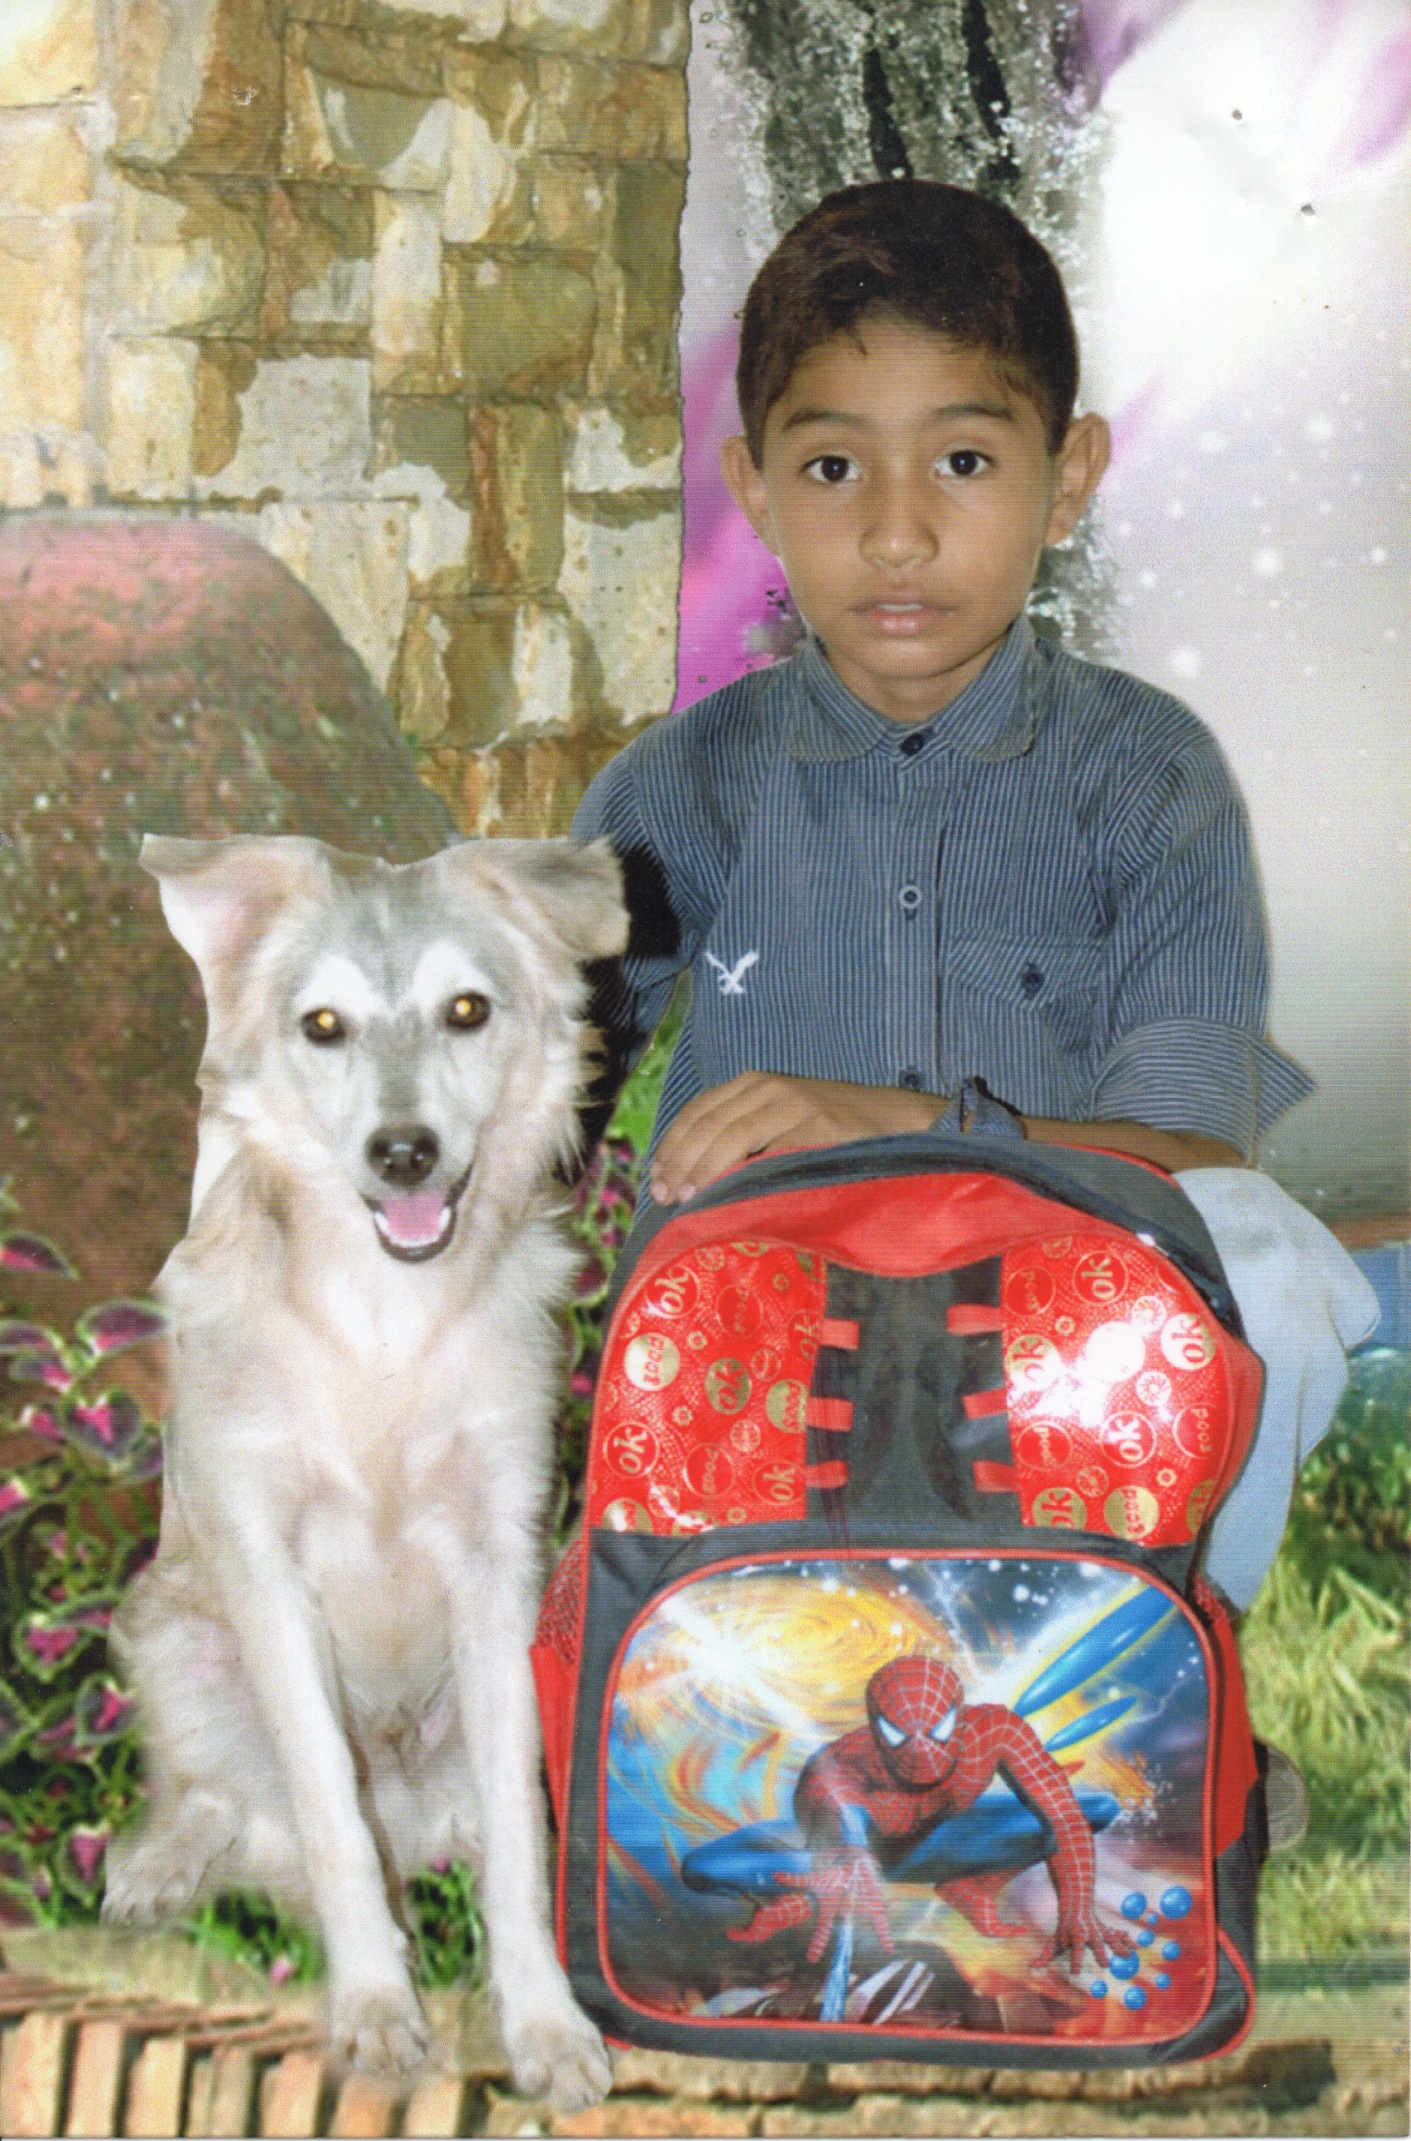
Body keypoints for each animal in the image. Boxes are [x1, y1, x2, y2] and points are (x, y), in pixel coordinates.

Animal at [101, 832, 625, 2110]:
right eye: (323, 1024)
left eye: (467, 1008)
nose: (403, 1152)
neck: (385, 1321)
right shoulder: (266, 1564)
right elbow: (329, 1819)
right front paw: (379, 2011)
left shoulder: (498, 1559)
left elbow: (520, 1844)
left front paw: (543, 2020)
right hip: (174, 1630)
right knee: (225, 1799)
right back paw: (158, 1866)